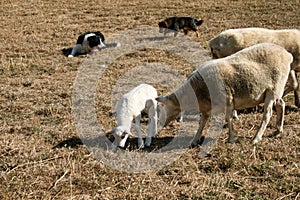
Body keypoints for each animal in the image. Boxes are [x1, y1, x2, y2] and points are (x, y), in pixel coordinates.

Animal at [156, 42, 292, 145]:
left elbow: (228, 118)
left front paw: (231, 137)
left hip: (272, 90)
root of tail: (287, 54)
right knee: (281, 104)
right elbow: (202, 122)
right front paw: (195, 139)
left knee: (267, 114)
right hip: (277, 91)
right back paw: (278, 130)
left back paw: (256, 138)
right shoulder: (206, 106)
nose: (157, 131)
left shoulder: (228, 100)